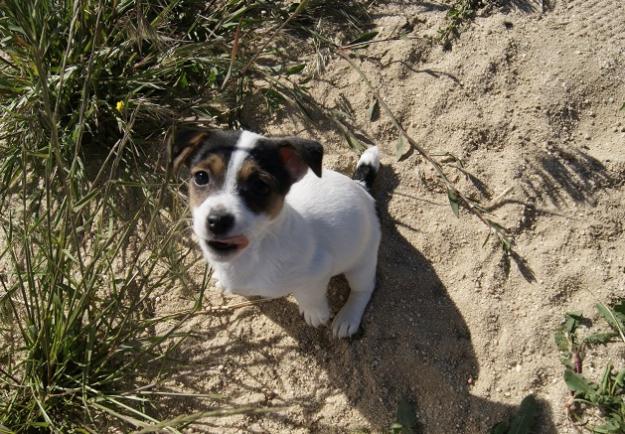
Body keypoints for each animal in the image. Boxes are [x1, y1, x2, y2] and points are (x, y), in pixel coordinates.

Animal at [173, 127, 382, 338]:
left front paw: (315, 312)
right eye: (201, 177)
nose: (217, 221)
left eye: (260, 186)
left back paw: (348, 317)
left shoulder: (318, 271)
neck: (257, 249)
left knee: (363, 288)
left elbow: (310, 295)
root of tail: (360, 186)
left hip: (362, 261)